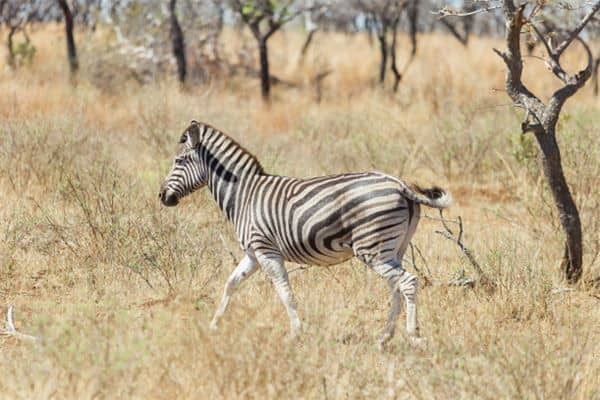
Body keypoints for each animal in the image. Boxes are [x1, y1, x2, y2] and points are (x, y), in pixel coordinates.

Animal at [159, 119, 450, 346]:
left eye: (179, 160)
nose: (162, 196)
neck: (244, 195)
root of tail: (400, 184)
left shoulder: (266, 250)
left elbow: (285, 291)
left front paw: (295, 333)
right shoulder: (253, 254)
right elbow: (231, 284)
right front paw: (214, 326)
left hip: (373, 249)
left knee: (407, 282)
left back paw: (412, 335)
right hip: (393, 248)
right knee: (396, 286)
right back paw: (385, 336)